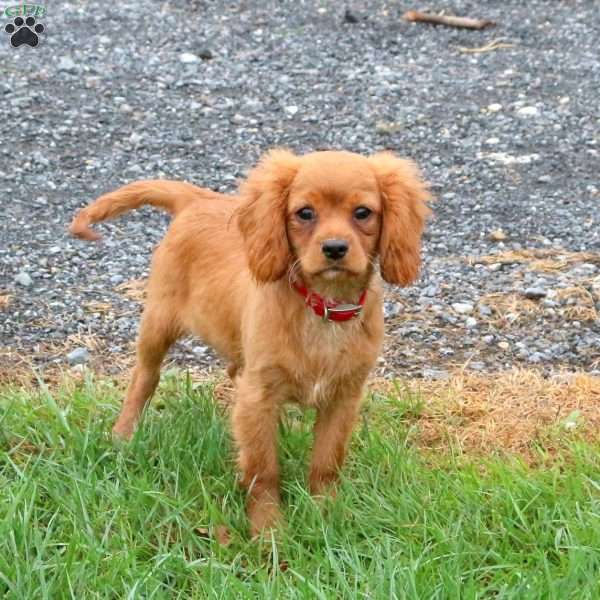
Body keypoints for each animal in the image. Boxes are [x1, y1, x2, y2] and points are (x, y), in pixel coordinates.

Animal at [68, 149, 428, 536]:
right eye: (305, 213)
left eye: (363, 213)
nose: (334, 249)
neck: (323, 307)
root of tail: (196, 200)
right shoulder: (258, 397)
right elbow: (263, 467)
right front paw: (269, 530)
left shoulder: (343, 397)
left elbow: (326, 461)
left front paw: (325, 514)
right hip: (158, 324)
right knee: (144, 379)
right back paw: (123, 434)